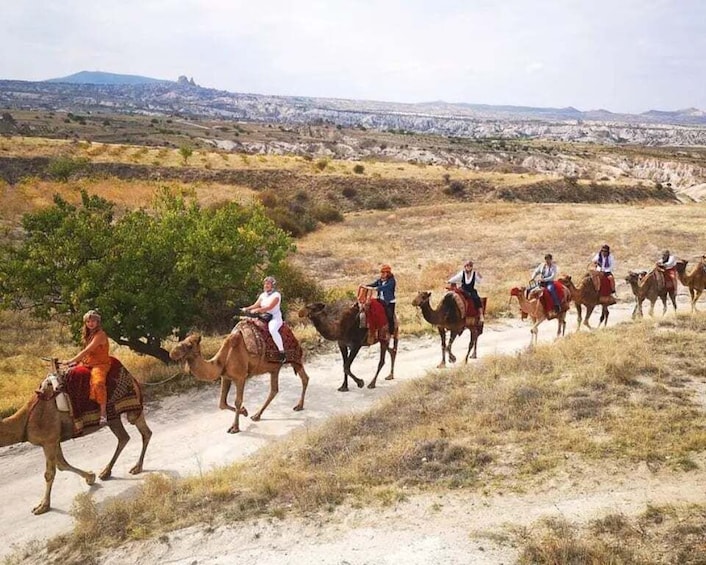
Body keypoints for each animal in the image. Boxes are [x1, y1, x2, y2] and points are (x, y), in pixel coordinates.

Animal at [0, 360, 151, 512]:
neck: (27, 418)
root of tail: (133, 379)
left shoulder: (49, 440)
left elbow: (50, 473)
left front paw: (43, 506)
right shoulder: (55, 440)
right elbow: (62, 465)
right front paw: (91, 477)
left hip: (129, 409)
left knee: (139, 432)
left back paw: (135, 468)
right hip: (115, 417)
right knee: (128, 436)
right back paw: (108, 472)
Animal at [168, 328, 308, 434]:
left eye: (189, 345)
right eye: (181, 341)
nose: (172, 353)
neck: (222, 360)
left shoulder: (240, 377)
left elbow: (237, 401)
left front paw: (234, 427)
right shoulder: (225, 377)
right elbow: (222, 404)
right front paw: (245, 412)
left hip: (294, 359)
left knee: (304, 378)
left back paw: (299, 406)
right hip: (274, 368)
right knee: (274, 389)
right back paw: (257, 415)